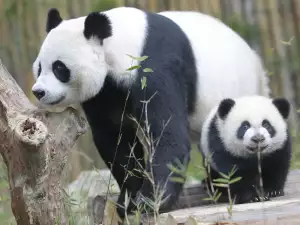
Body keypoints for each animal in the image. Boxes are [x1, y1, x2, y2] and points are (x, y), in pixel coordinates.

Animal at [30, 6, 270, 218]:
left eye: (59, 68)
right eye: (39, 67)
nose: (38, 92)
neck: (120, 43)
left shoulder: (154, 66)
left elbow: (167, 135)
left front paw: (149, 201)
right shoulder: (106, 92)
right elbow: (115, 139)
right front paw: (128, 201)